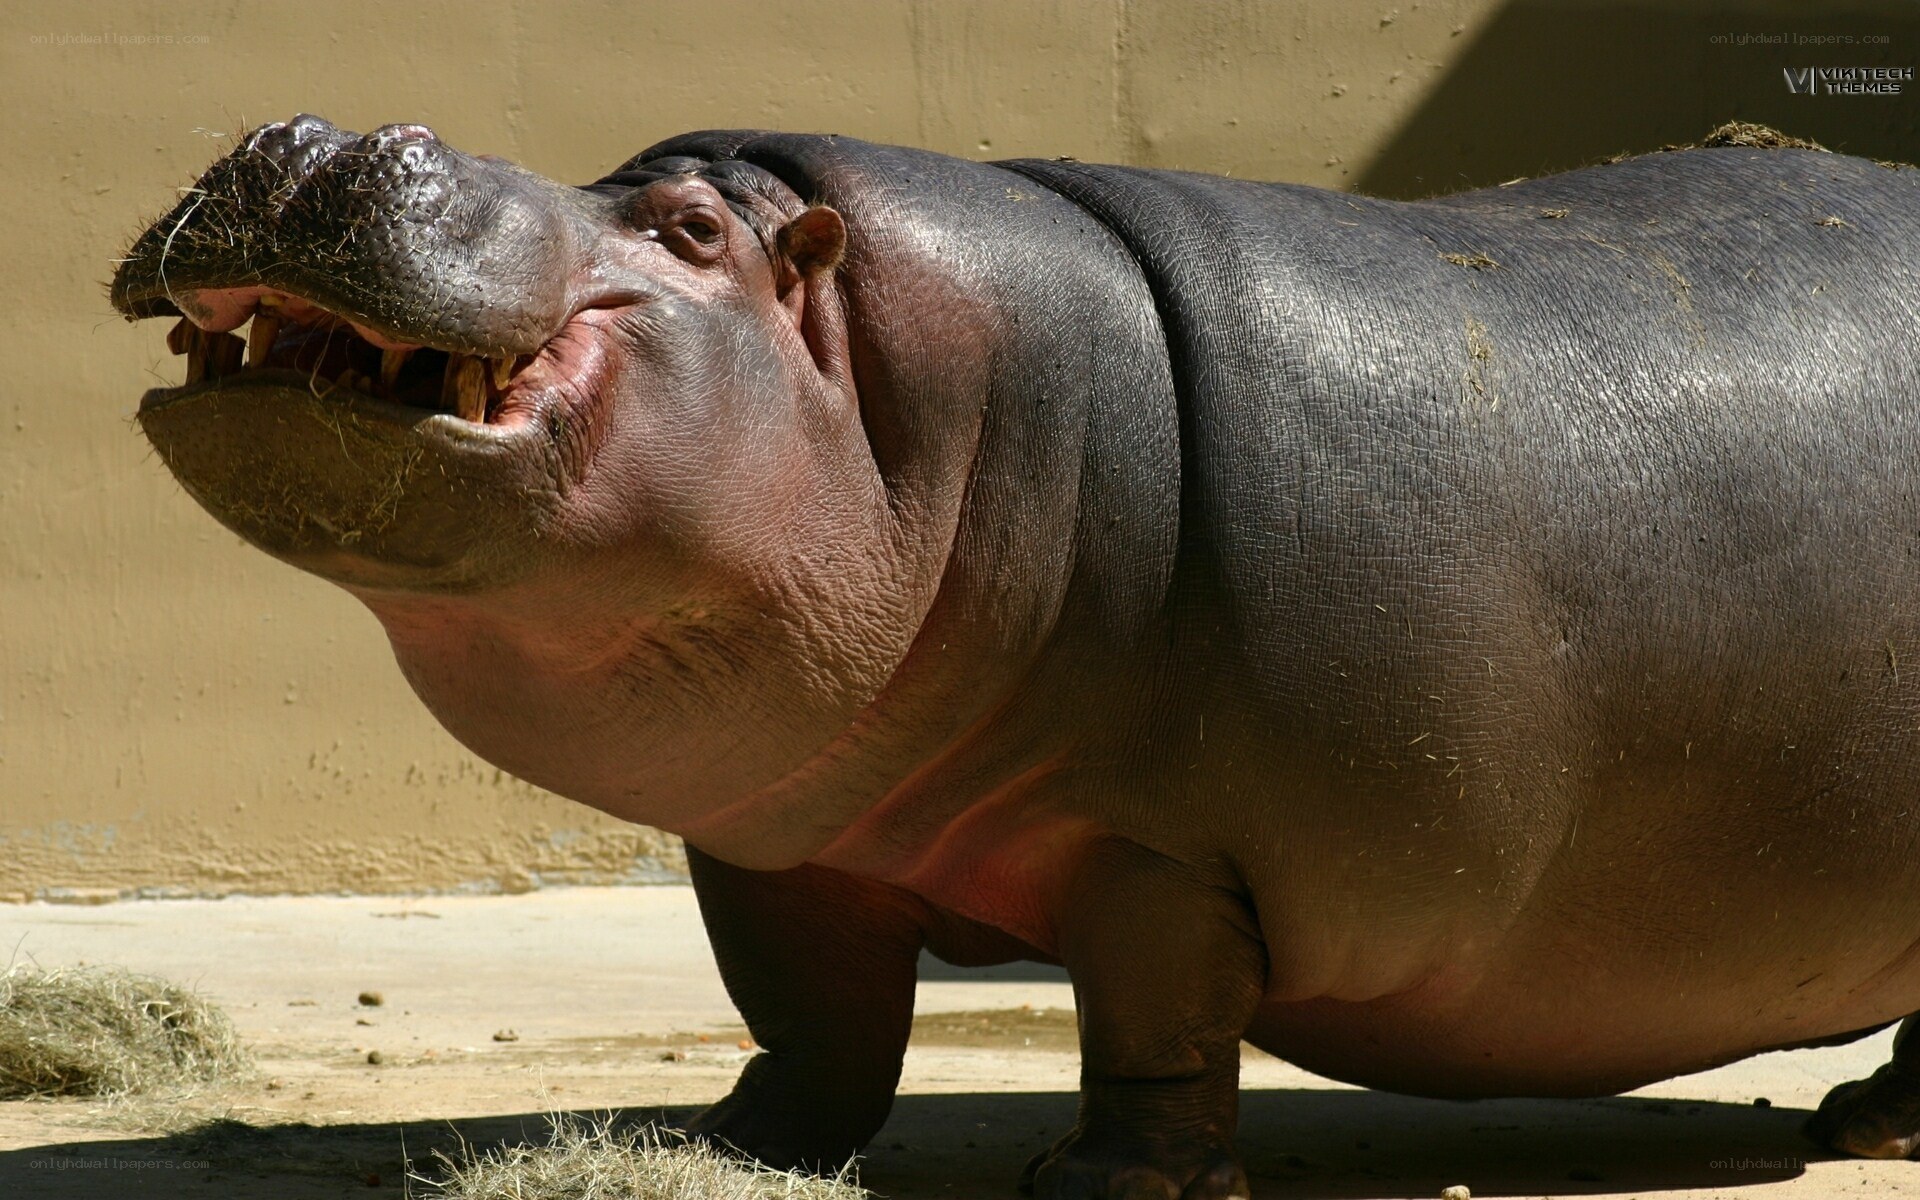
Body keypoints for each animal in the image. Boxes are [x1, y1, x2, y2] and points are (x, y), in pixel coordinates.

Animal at [110, 115, 1920, 1197]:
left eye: (687, 228)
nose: (317, 134)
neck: (924, 401)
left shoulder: (1161, 853)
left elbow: (1155, 1013)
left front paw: (1114, 1183)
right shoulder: (781, 838)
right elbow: (812, 1013)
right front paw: (729, 1141)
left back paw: (1870, 1126)